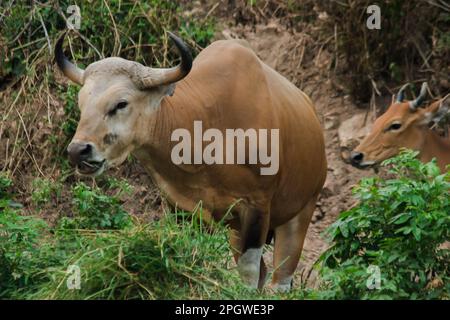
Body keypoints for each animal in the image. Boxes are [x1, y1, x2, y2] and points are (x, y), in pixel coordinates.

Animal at [55, 31, 326, 290]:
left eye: (121, 103)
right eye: (81, 103)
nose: (78, 151)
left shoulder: (256, 208)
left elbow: (247, 276)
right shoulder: (184, 211)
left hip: (300, 214)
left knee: (280, 279)